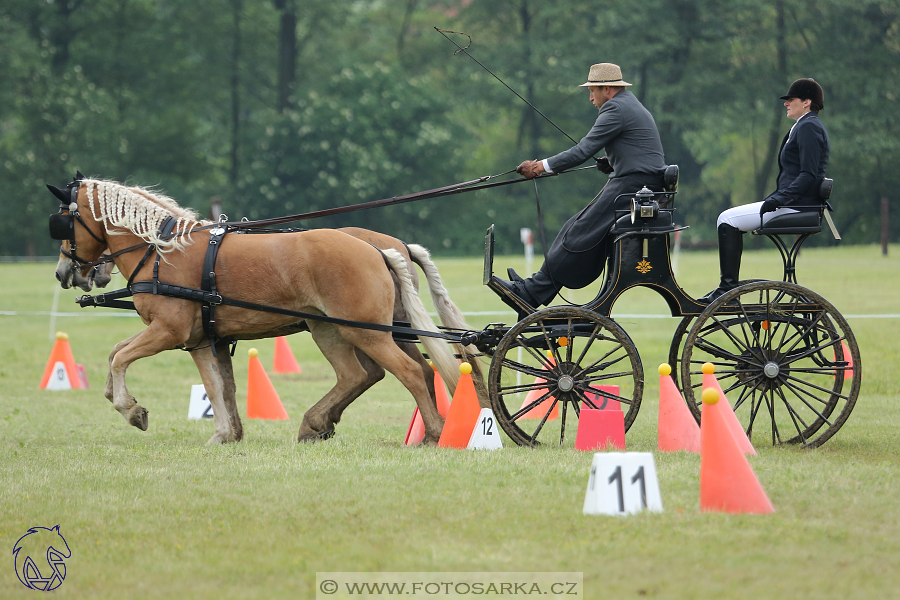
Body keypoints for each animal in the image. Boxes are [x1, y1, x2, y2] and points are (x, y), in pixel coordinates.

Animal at [51, 176, 460, 442]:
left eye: (63, 222)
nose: (63, 271)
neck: (162, 252)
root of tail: (381, 250)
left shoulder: (169, 331)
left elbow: (122, 357)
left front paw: (131, 409)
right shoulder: (203, 339)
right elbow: (217, 385)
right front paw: (226, 433)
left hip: (361, 330)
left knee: (406, 372)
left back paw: (435, 431)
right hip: (337, 329)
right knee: (369, 374)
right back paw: (318, 423)